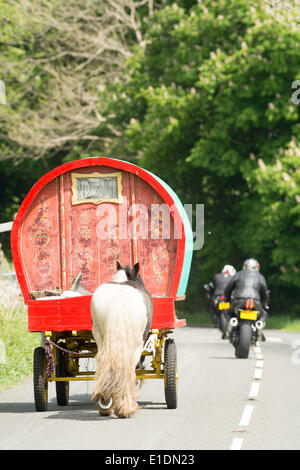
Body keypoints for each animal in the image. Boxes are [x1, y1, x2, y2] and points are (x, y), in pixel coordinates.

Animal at [91, 260, 152, 418]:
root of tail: (119, 298)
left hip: (100, 337)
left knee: (104, 362)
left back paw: (105, 403)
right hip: (137, 344)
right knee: (130, 367)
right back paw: (126, 407)